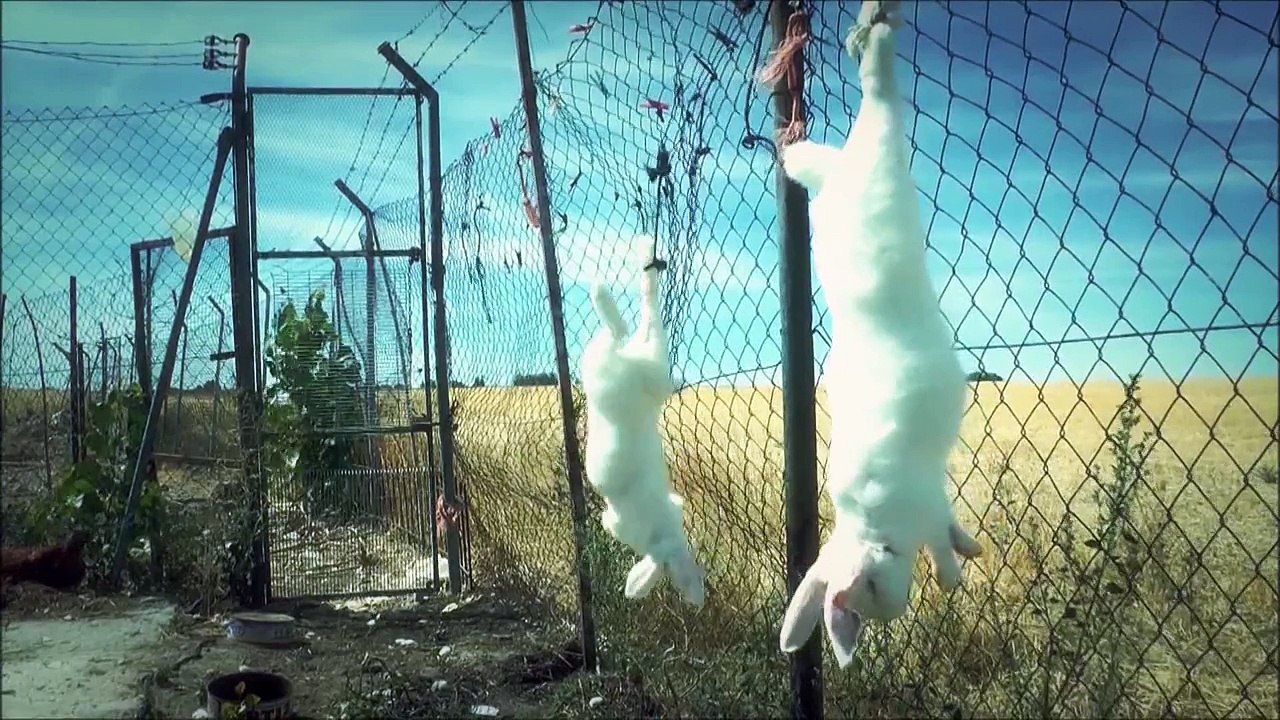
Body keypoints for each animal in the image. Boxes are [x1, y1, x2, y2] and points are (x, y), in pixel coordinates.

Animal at [579, 236, 706, 608]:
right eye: (695, 576)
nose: (700, 599)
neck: (659, 538)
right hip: (639, 369)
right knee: (641, 327)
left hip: (613, 367)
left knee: (624, 333)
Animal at [775, 0, 984, 668]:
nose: (890, 610)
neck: (876, 531)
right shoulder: (933, 500)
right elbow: (947, 533)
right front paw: (964, 560)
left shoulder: (925, 505)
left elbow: (941, 543)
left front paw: (953, 571)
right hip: (854, 162)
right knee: (859, 112)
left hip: (877, 152)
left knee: (878, 93)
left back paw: (872, 31)